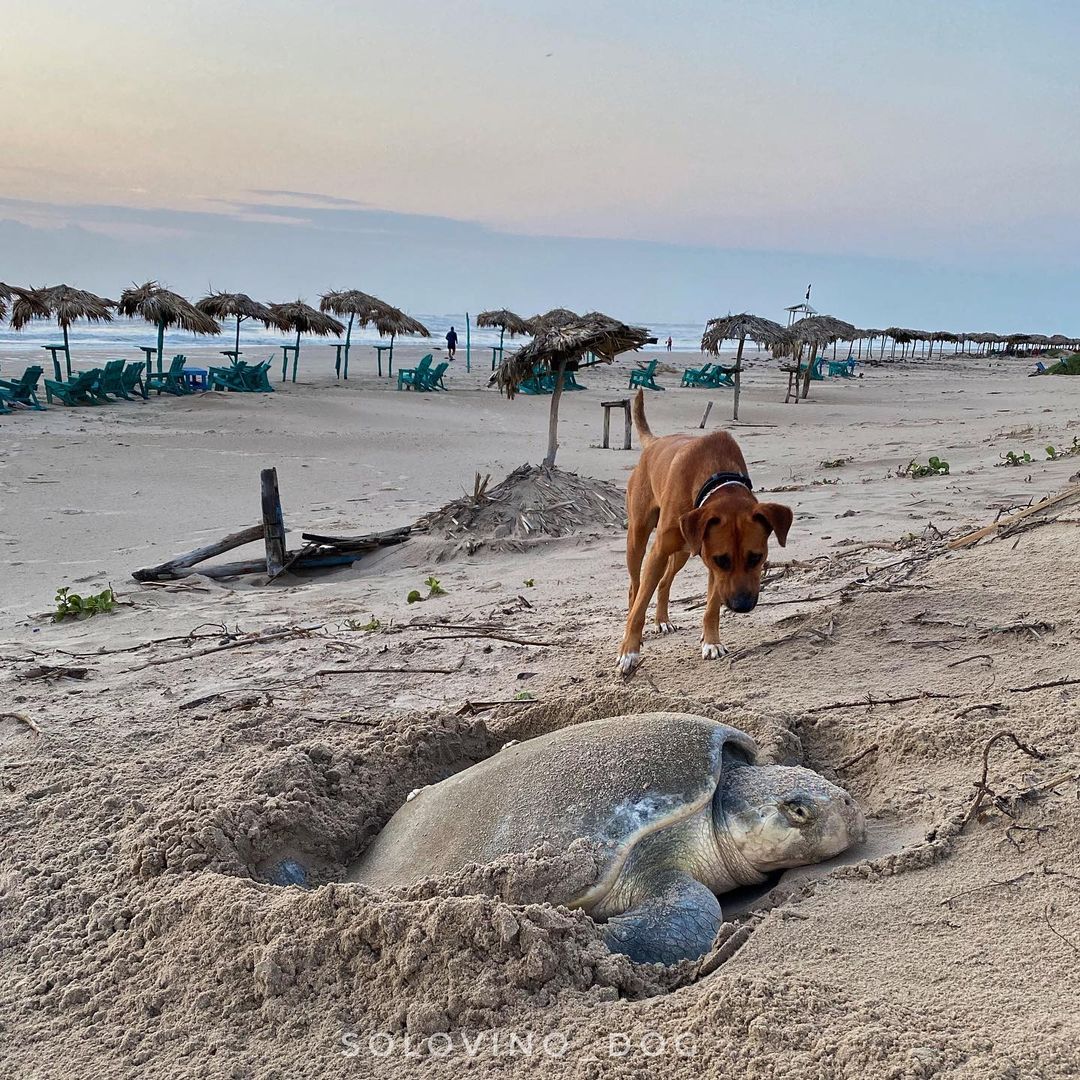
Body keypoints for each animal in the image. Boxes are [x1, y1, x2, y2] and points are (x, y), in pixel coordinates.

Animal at [617, 393, 794, 669]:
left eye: (757, 557)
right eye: (722, 560)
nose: (742, 606)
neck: (716, 478)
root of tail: (654, 443)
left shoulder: (710, 561)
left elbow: (711, 607)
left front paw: (711, 641)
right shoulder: (664, 552)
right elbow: (641, 603)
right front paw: (629, 650)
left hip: (683, 549)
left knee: (665, 581)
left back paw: (662, 620)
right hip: (638, 537)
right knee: (636, 588)